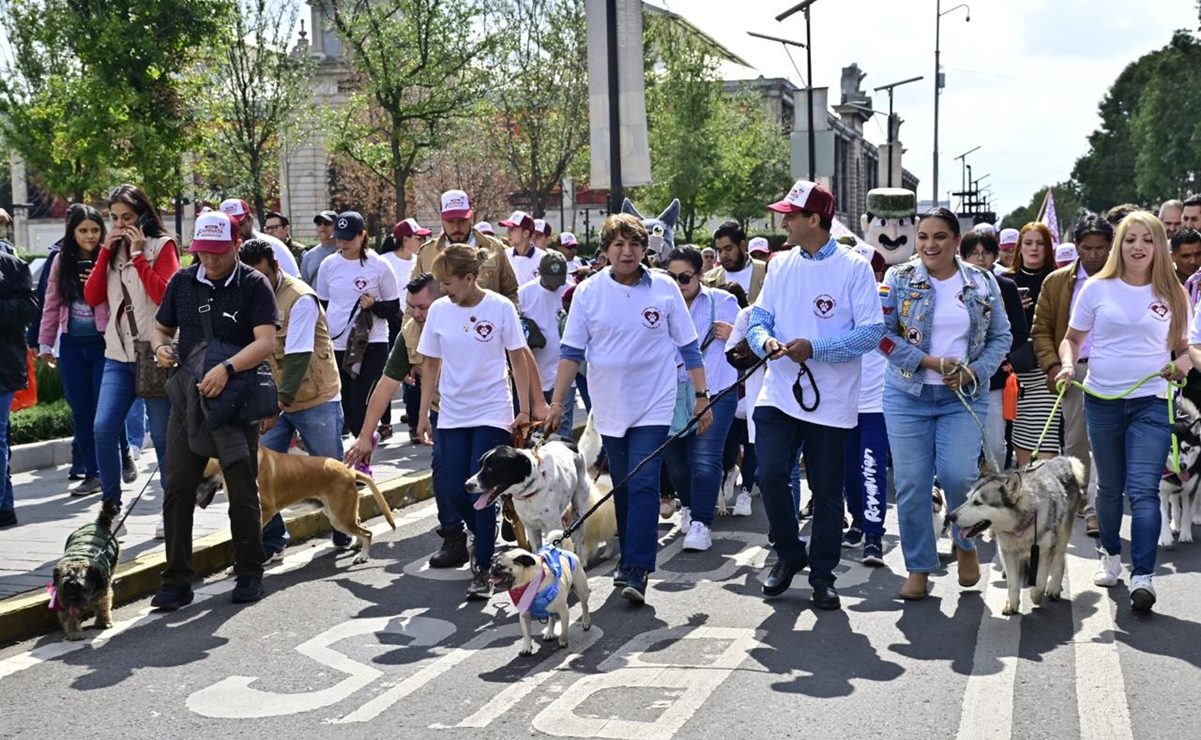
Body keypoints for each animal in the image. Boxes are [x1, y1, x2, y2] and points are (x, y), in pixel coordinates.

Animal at [53, 499, 121, 639]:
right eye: (65, 587)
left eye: (81, 587)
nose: (73, 598)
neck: (78, 561)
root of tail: (99, 522)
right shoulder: (63, 599)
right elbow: (70, 616)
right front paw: (74, 632)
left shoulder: (102, 591)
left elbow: (102, 607)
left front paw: (103, 622)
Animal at [201, 446, 396, 564]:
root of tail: (348, 470)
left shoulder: (265, 510)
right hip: (339, 513)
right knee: (361, 524)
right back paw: (357, 545)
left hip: (339, 518)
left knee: (367, 533)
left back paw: (363, 555)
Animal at [946, 454, 1090, 615]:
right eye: (968, 499)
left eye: (978, 503)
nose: (950, 516)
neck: (1020, 527)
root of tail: (1063, 459)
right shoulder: (1009, 552)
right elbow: (1013, 583)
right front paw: (1012, 604)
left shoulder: (1044, 551)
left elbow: (1040, 582)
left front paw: (1035, 595)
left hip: (1062, 534)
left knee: (1060, 559)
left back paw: (1054, 587)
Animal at [1152, 396, 1201, 545]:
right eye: (1171, 449)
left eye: (1187, 448)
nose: (1183, 466)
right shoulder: (1161, 491)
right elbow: (1163, 515)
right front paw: (1166, 537)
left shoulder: (1190, 490)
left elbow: (1187, 514)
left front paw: (1185, 535)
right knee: (1174, 506)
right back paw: (1175, 525)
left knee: (1197, 500)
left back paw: (1196, 516)